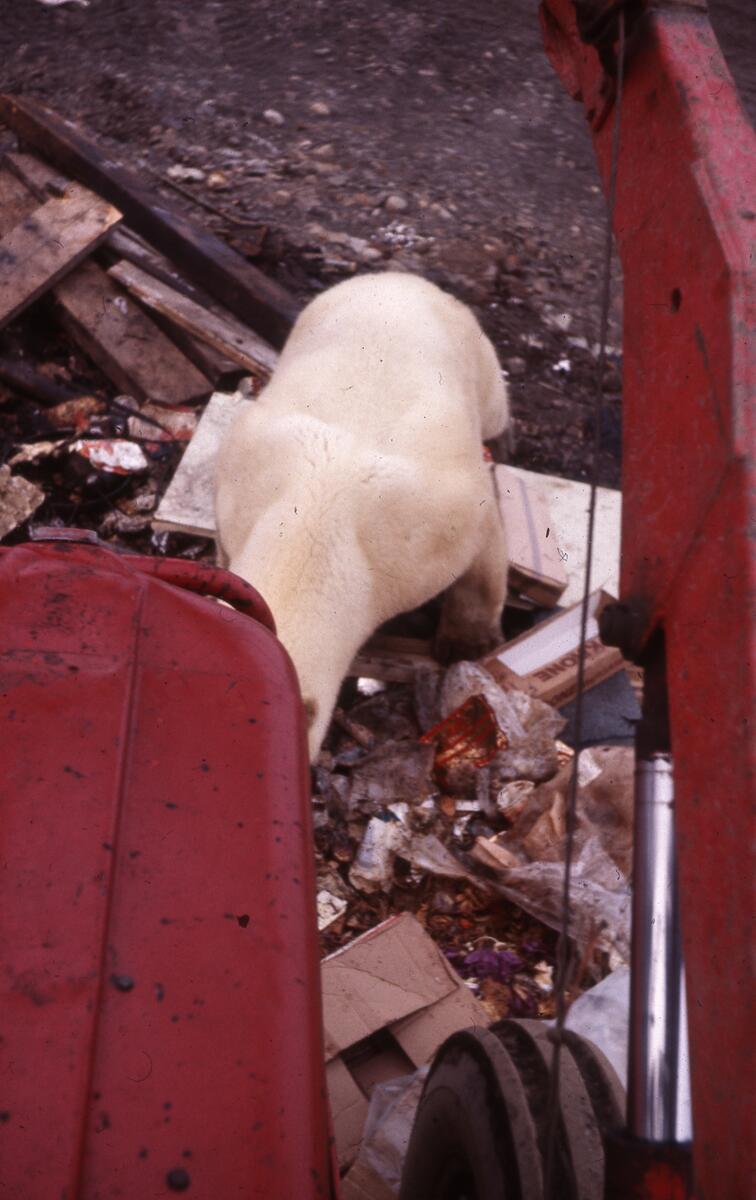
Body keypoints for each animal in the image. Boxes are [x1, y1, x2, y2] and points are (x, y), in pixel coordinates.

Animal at [214, 272, 508, 758]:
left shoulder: (431, 526)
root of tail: (402, 278)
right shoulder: (241, 486)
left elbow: (482, 542)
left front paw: (467, 643)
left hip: (472, 351)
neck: (313, 528)